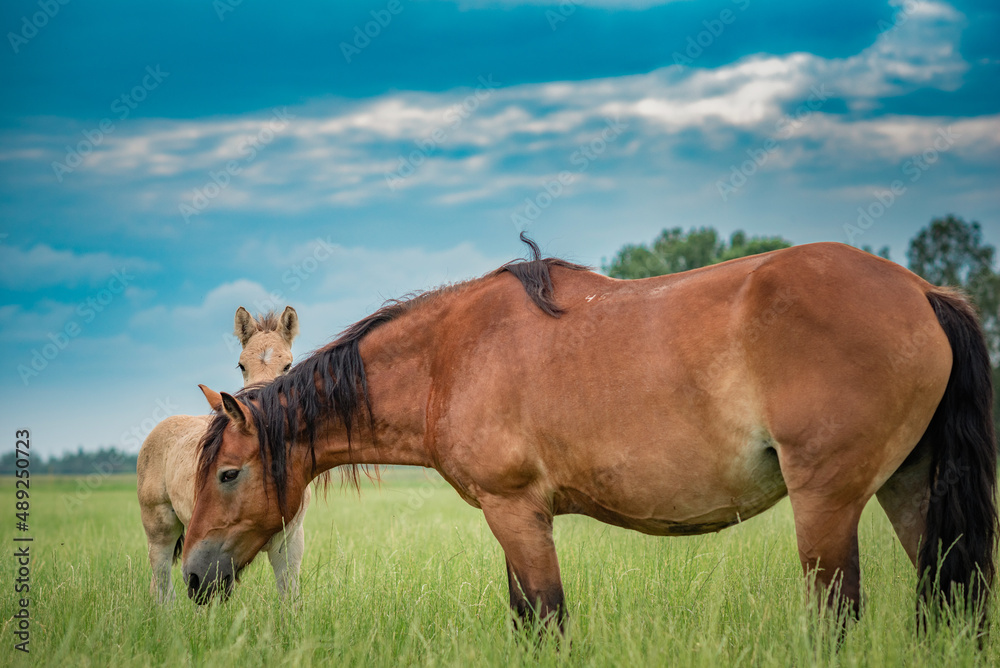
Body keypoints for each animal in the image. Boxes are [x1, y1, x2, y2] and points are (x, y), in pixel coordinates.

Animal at [137, 305, 311, 602]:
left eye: (288, 365)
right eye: (242, 365)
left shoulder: (288, 543)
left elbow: (289, 597)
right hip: (159, 531)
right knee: (162, 588)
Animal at [182, 238, 996, 634]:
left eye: (227, 474)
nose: (192, 576)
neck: (451, 355)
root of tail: (921, 290)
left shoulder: (517, 514)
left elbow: (546, 623)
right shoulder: (517, 523)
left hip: (827, 503)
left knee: (836, 617)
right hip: (909, 488)